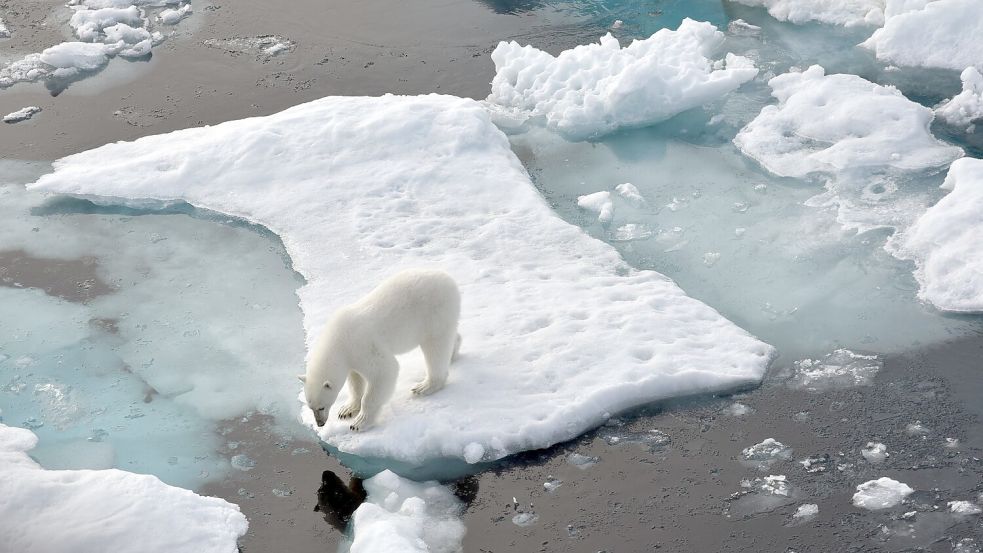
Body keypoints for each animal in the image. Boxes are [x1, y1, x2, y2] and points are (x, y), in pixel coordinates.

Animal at [300, 268, 462, 432]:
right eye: (310, 407)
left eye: (321, 407)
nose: (320, 423)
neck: (338, 339)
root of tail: (448, 279)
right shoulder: (351, 357)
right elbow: (355, 380)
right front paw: (347, 410)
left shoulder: (362, 345)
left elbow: (384, 371)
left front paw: (359, 422)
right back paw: (453, 352)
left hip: (434, 311)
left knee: (435, 347)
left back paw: (425, 386)